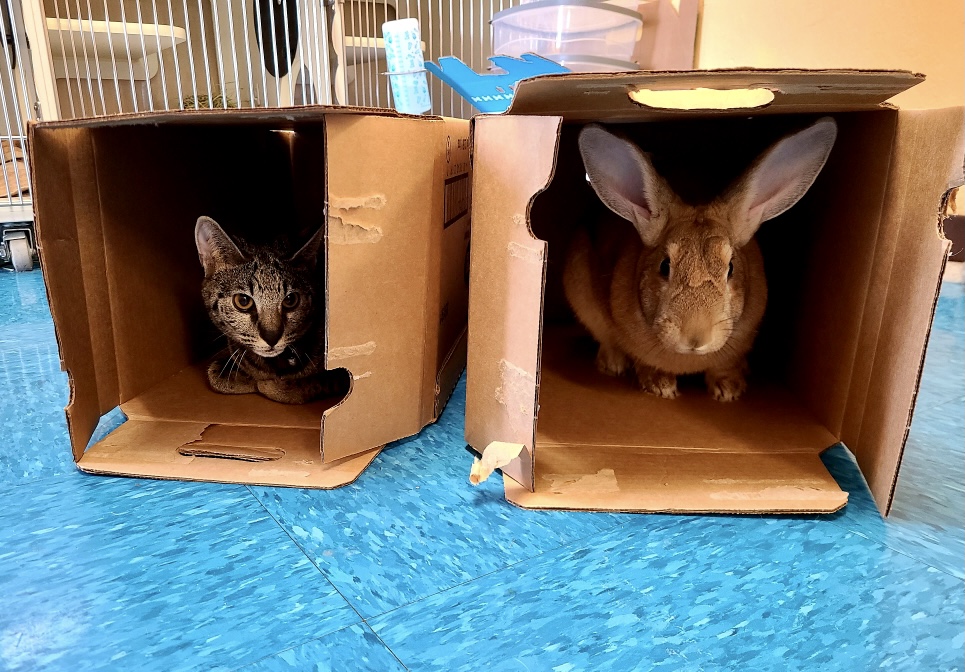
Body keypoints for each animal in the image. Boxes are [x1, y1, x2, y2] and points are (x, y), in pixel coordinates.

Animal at [194, 217, 348, 404]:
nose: (272, 337)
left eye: (291, 300)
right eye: (243, 301)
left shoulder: (340, 375)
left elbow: (294, 384)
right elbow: (215, 373)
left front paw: (270, 384)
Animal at [564, 117, 836, 402]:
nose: (695, 338)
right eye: (665, 266)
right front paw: (661, 386)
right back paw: (613, 364)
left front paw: (729, 390)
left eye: (730, 268)